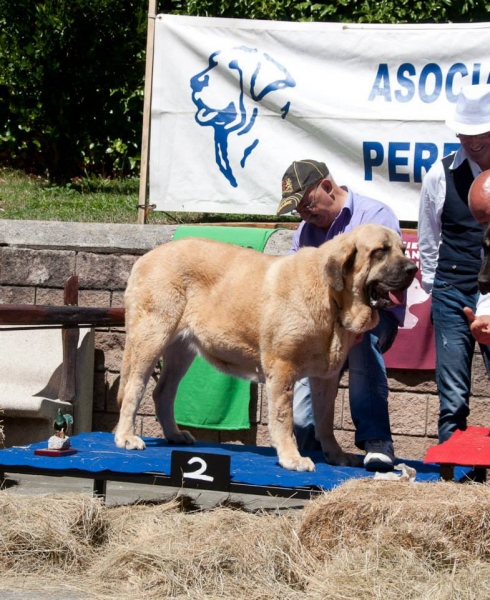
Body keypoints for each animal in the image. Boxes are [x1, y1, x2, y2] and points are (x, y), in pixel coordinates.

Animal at [116, 223, 418, 472]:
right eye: (381, 251)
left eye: (403, 249)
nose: (413, 269)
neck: (331, 298)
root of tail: (144, 258)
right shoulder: (282, 368)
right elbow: (284, 417)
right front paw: (292, 458)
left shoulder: (326, 376)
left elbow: (325, 419)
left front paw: (335, 455)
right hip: (151, 337)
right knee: (134, 387)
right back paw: (126, 436)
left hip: (181, 350)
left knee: (163, 392)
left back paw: (174, 435)